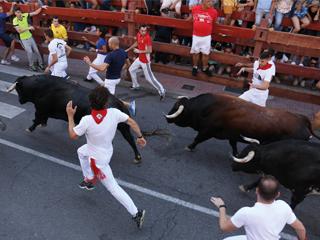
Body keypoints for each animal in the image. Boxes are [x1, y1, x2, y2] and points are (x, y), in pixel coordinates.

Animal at [9, 75, 141, 161]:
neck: (40, 87)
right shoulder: (44, 112)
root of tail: (119, 103)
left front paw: (29, 128)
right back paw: (137, 157)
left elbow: (36, 119)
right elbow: (41, 120)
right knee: (129, 138)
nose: (19, 100)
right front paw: (41, 125)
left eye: (19, 90)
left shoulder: (40, 109)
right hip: (123, 127)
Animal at [165, 93, 320, 155]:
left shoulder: (207, 131)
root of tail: (302, 118)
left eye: (176, 107)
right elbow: (233, 145)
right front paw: (236, 154)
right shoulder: (232, 135)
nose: (167, 118)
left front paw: (189, 147)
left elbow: (197, 139)